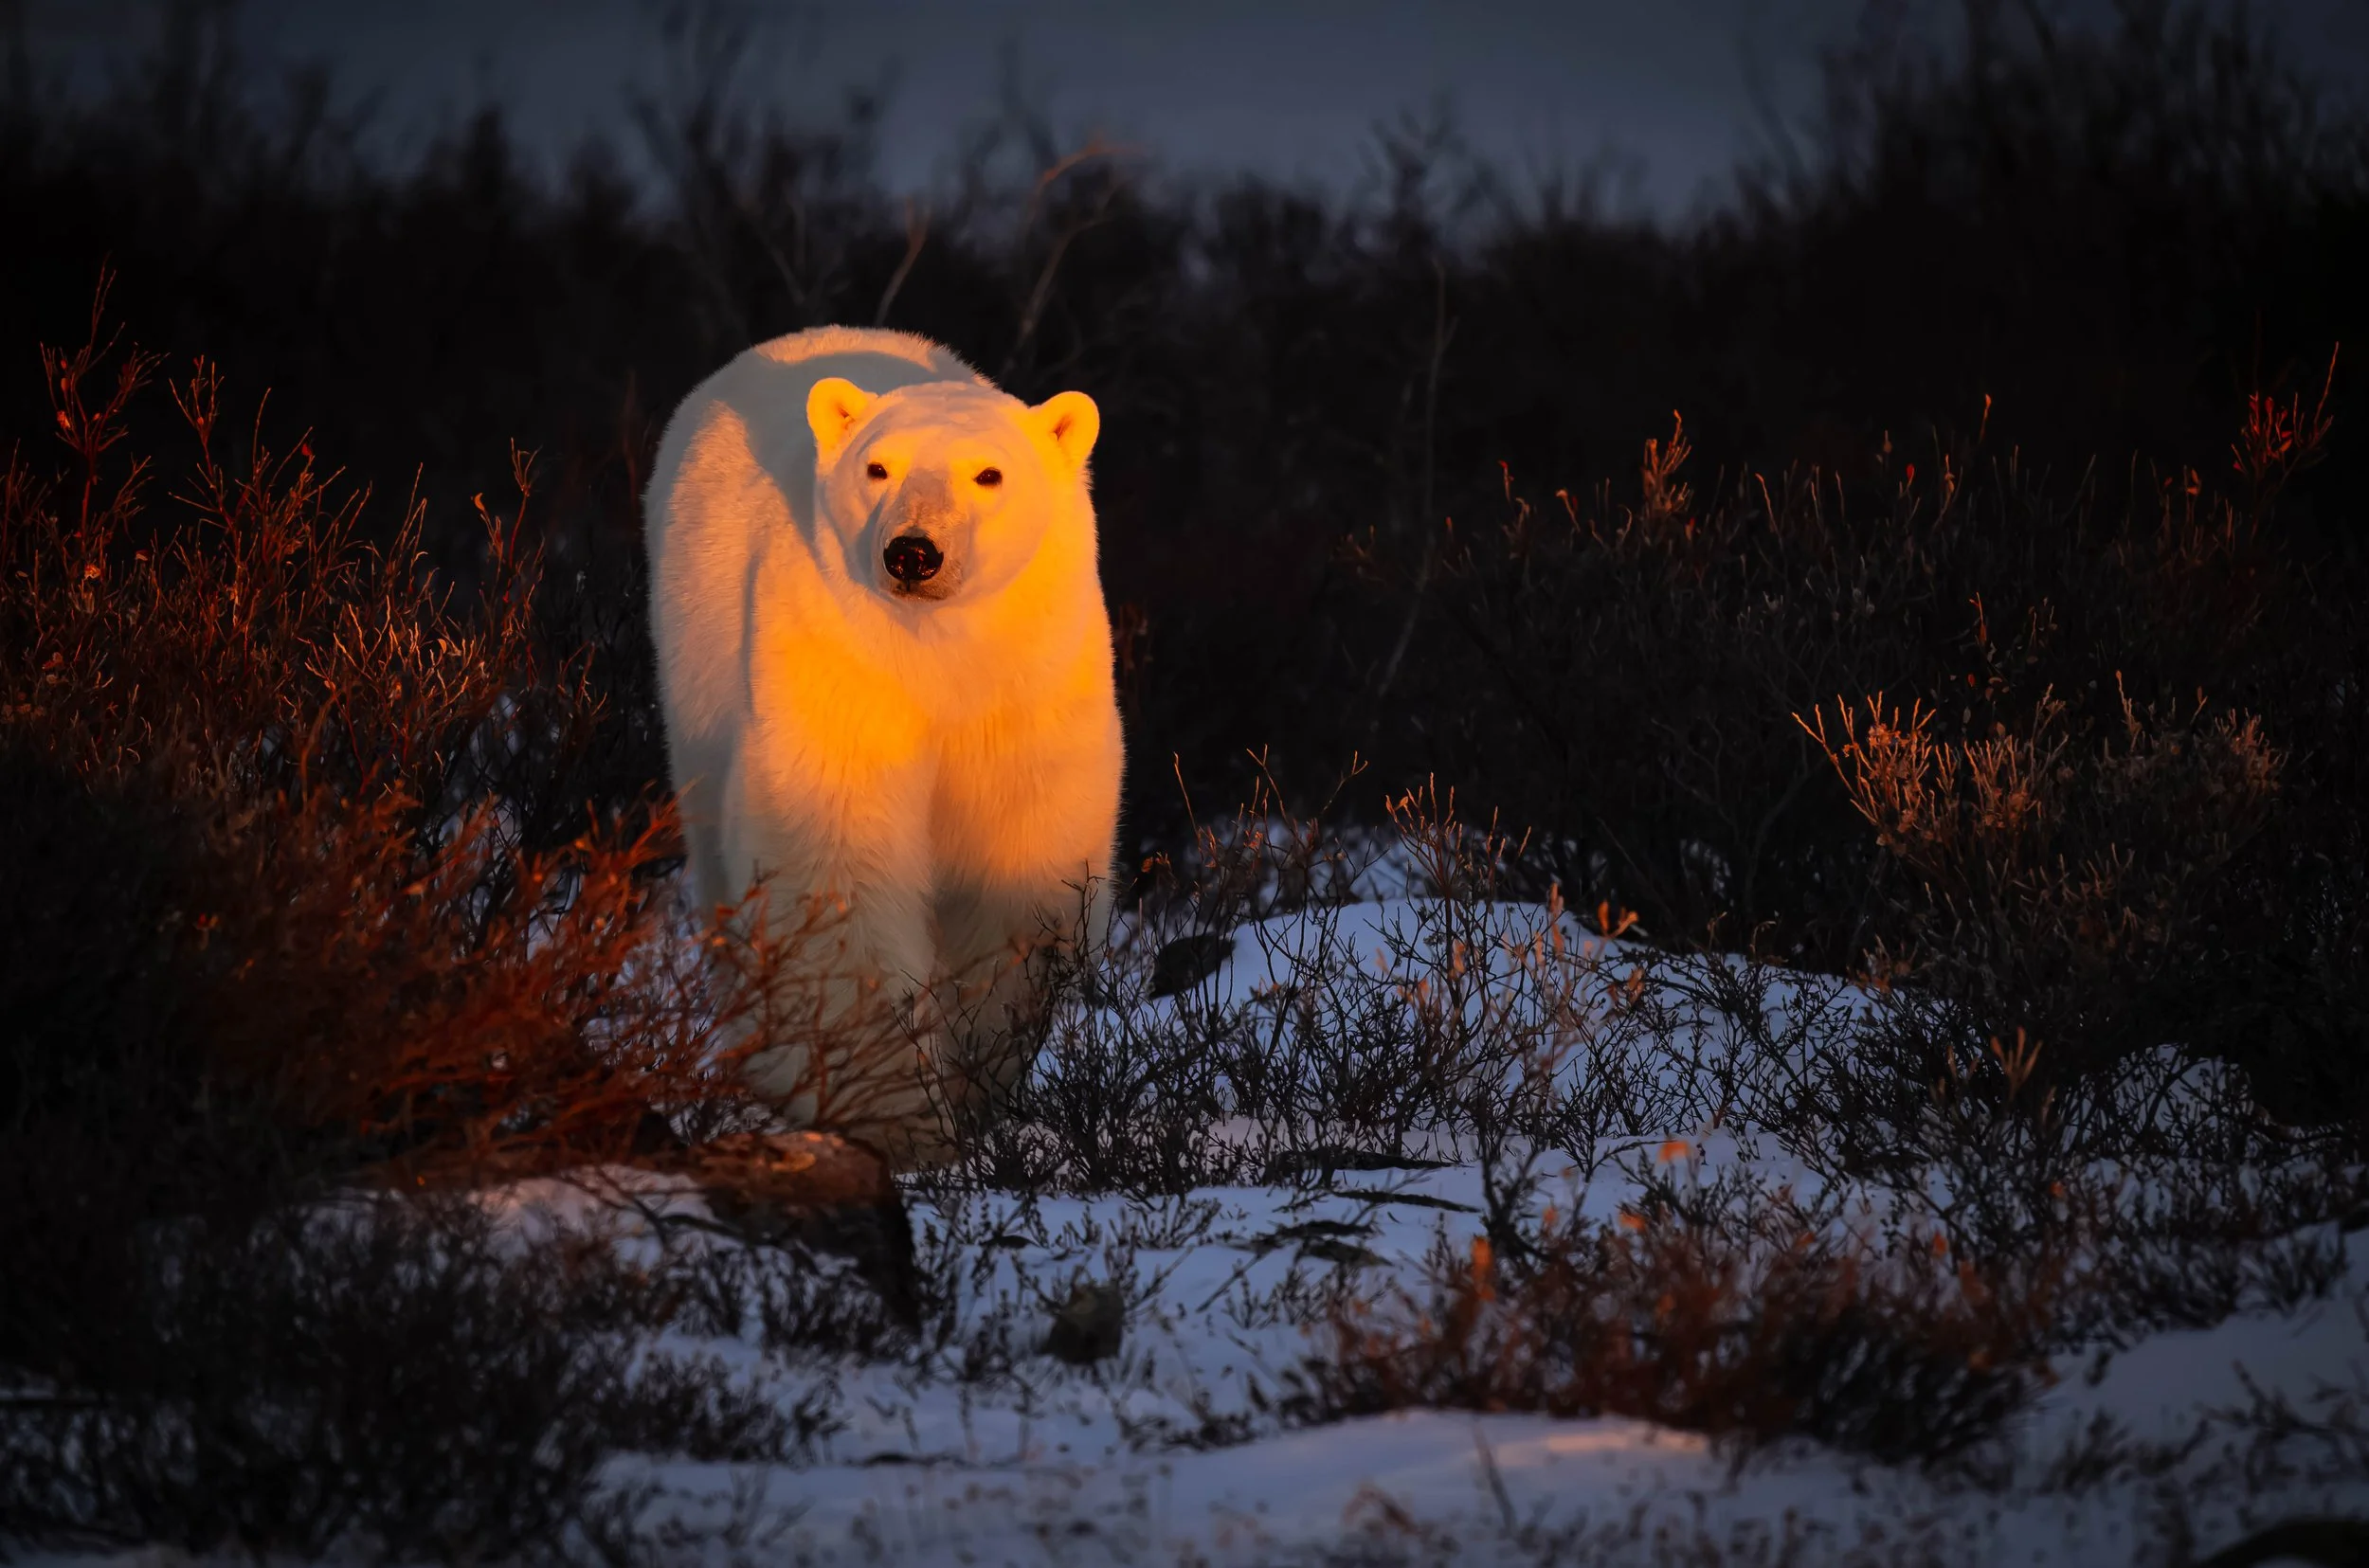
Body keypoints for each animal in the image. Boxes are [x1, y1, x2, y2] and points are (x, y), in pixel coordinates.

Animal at [644, 327, 1123, 1161]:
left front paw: (976, 1075)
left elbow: (1015, 862)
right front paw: (897, 1119)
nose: (912, 552)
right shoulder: (838, 656)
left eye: (989, 473)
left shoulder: (1030, 681)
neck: (938, 655)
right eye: (878, 467)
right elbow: (838, 860)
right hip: (693, 669)